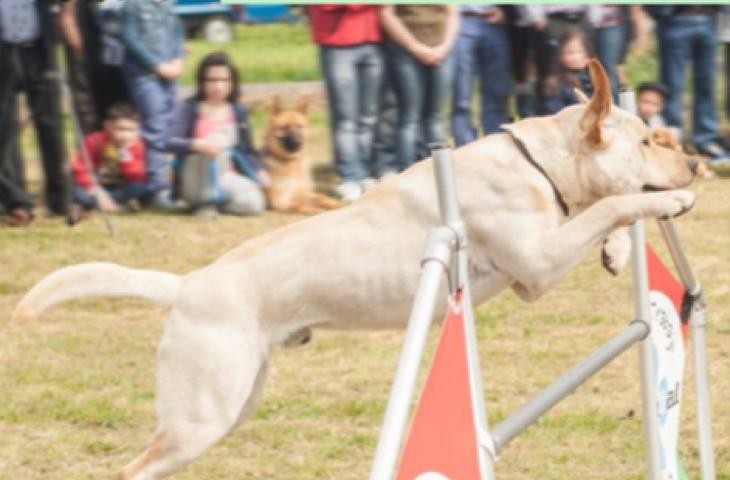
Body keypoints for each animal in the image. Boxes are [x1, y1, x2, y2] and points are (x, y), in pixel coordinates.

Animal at [9, 61, 692, 480]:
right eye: (648, 141)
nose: (691, 161)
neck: (540, 163)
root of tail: (185, 285)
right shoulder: (538, 265)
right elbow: (613, 204)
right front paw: (670, 201)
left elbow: (603, 215)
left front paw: (616, 253)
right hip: (202, 413)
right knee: (134, 468)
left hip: (234, 399)